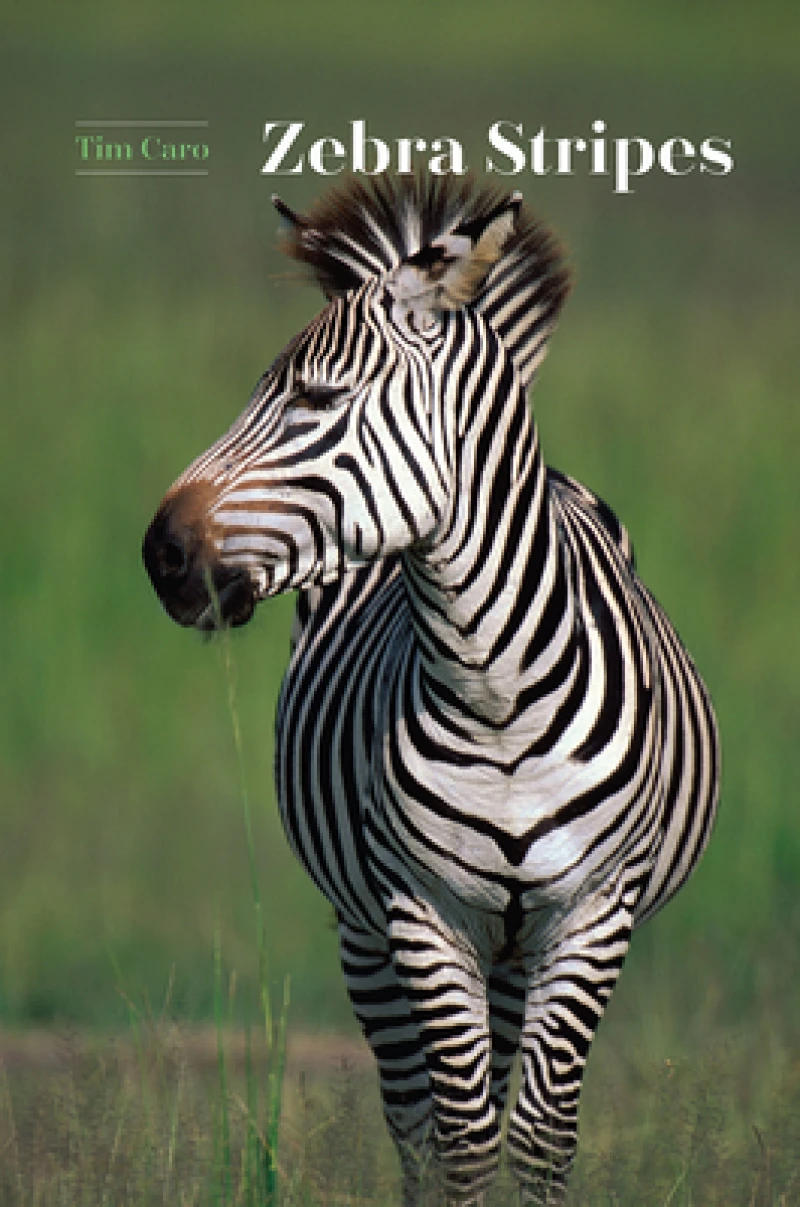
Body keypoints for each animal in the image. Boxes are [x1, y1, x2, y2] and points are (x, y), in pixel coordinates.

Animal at [143, 174, 719, 1205]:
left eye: (316, 398)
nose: (159, 554)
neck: (494, 692)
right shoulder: (421, 910)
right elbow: (458, 1137)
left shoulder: (592, 910)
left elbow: (537, 1135)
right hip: (368, 935)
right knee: (413, 1120)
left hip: (515, 946)